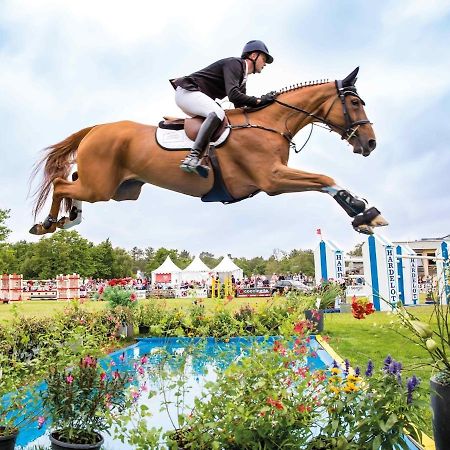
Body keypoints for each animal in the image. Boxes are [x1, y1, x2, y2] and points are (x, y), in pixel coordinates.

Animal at [29, 67, 386, 236]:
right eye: (355, 102)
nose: (370, 143)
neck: (270, 122)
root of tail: (96, 128)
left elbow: (325, 180)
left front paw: (365, 216)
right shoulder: (272, 179)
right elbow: (324, 178)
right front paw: (364, 213)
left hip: (119, 189)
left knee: (72, 181)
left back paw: (68, 219)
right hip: (101, 187)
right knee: (61, 184)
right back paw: (48, 223)